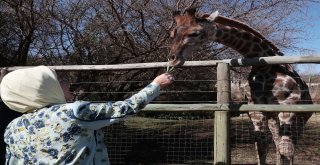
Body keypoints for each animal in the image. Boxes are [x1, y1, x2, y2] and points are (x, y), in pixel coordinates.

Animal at [169, 8, 314, 165]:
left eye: (195, 33)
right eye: (172, 34)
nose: (173, 59)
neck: (264, 67)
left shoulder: (288, 104)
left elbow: (286, 149)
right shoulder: (256, 108)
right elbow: (261, 145)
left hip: (301, 118)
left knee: (289, 147)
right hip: (273, 117)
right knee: (277, 142)